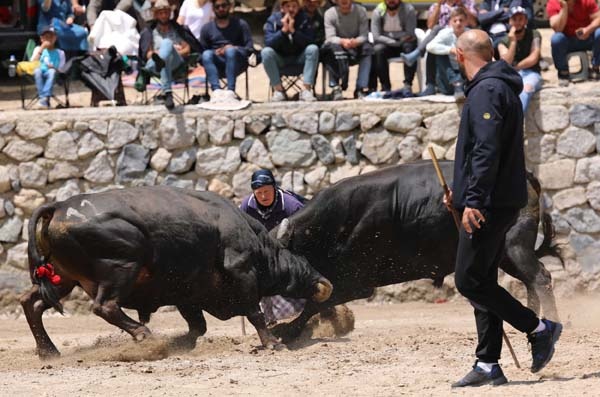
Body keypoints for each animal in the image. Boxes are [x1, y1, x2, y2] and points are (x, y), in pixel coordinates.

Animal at [19, 184, 332, 358]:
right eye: (300, 259)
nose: (324, 282)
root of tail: (59, 206)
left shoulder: (187, 293)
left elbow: (197, 326)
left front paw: (180, 343)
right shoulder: (241, 271)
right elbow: (255, 313)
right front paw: (272, 343)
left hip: (63, 278)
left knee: (31, 303)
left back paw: (48, 351)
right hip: (121, 268)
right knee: (105, 306)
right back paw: (144, 336)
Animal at [272, 161, 564, 340]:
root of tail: (526, 176)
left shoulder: (357, 282)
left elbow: (314, 304)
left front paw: (286, 331)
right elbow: (318, 303)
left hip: (515, 246)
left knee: (540, 277)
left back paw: (549, 321)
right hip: (504, 255)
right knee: (529, 281)